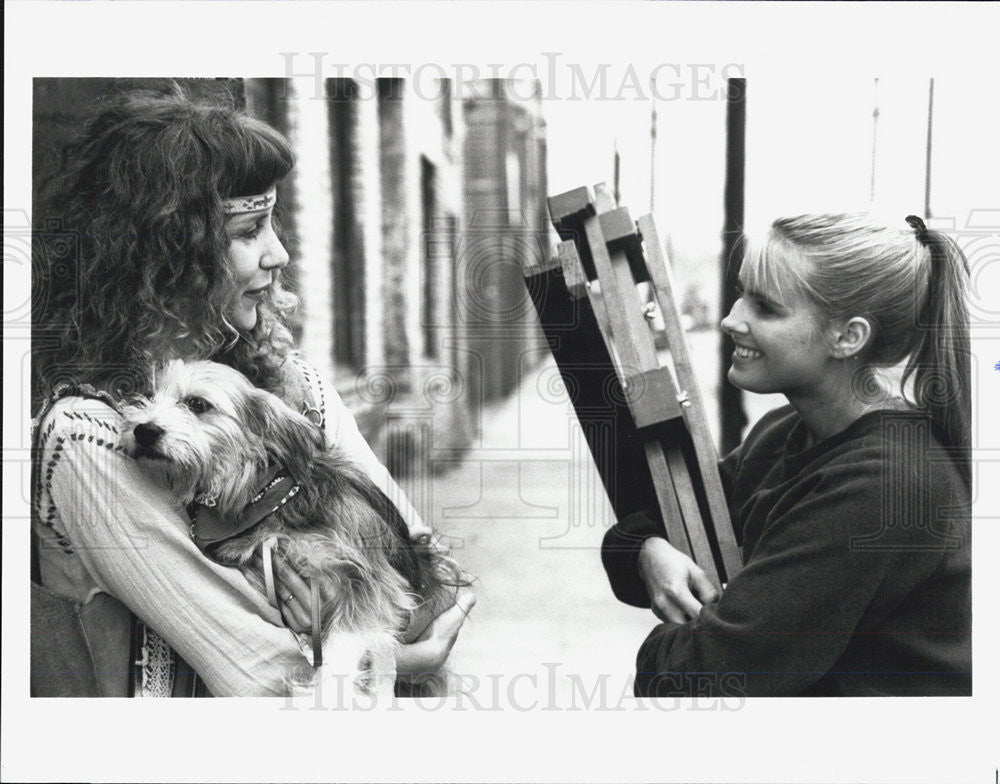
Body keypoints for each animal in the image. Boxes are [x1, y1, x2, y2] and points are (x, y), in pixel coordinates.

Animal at [120, 358, 460, 696]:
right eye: (149, 396)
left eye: (197, 404)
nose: (144, 430)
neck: (261, 495)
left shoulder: (371, 580)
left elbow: (340, 651)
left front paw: (323, 695)